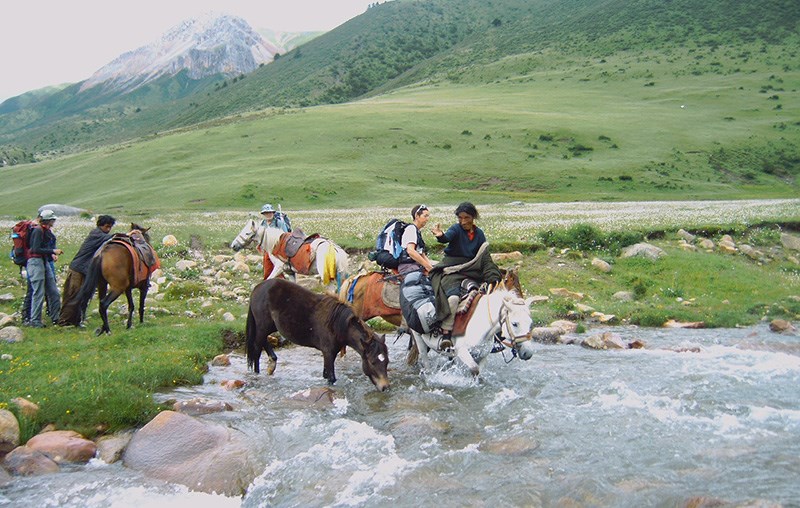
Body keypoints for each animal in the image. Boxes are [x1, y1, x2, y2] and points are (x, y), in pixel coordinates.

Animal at [247, 278, 390, 392]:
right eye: (372, 362)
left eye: (387, 361)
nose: (385, 387)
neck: (337, 324)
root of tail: (258, 288)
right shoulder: (328, 352)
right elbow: (331, 378)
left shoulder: (332, 353)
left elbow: (325, 374)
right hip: (262, 325)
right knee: (256, 348)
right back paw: (257, 374)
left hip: (270, 326)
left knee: (262, 340)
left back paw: (272, 363)